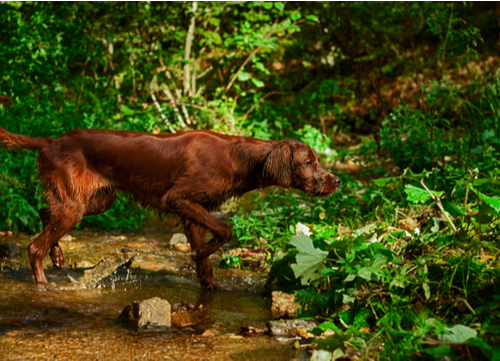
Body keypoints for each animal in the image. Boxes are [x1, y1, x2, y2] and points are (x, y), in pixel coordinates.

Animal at [0, 128, 340, 288]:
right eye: (308, 163)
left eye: (318, 161)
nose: (336, 180)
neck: (239, 157)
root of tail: (51, 140)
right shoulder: (179, 199)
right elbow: (225, 230)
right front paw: (199, 254)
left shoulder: (192, 210)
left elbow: (207, 258)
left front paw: (208, 281)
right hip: (77, 206)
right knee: (34, 246)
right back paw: (43, 282)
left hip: (94, 201)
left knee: (45, 213)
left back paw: (57, 255)